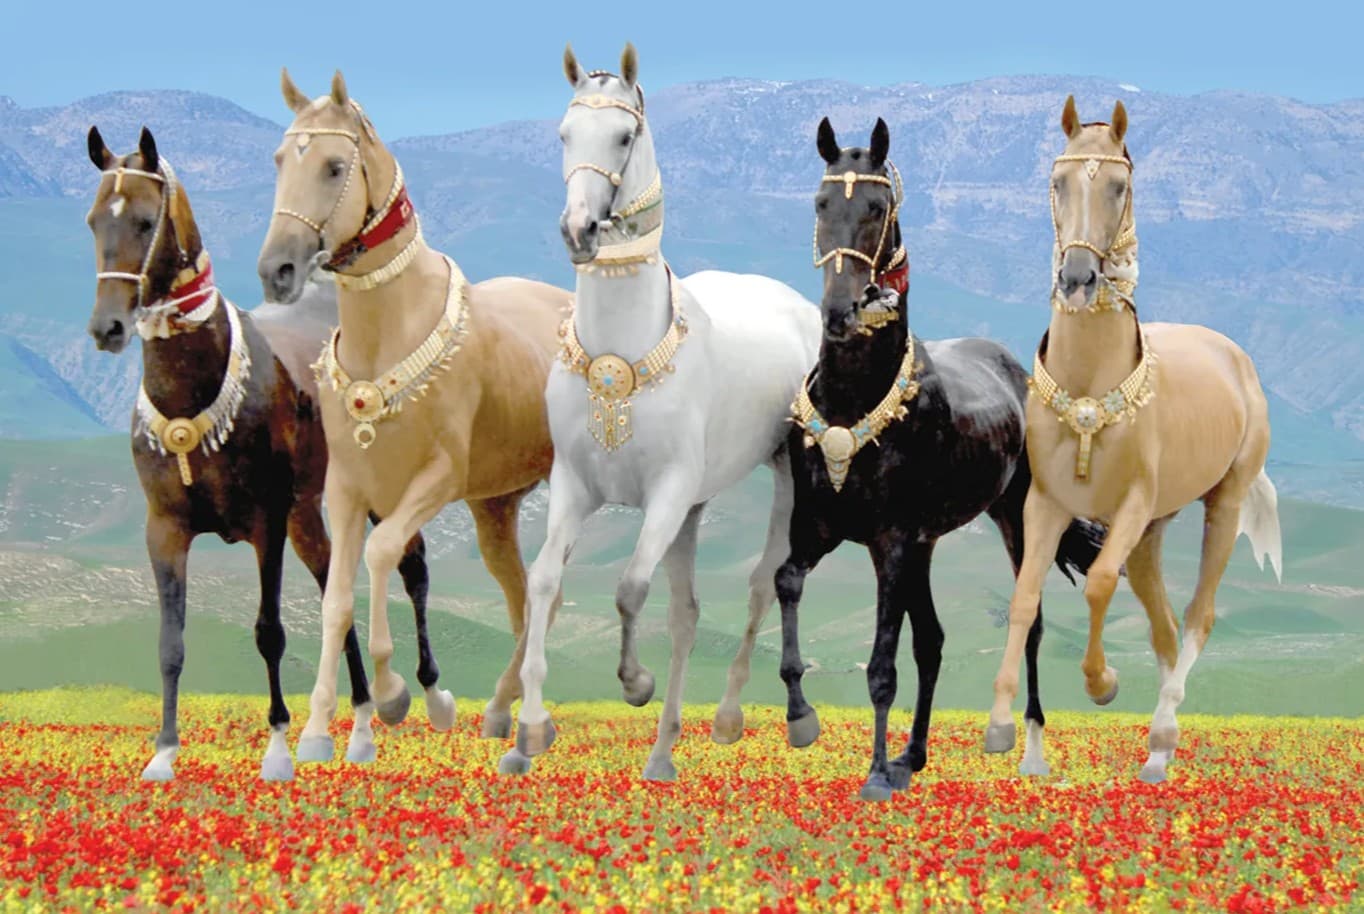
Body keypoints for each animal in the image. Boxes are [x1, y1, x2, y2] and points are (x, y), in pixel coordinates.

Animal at [83, 125, 435, 780]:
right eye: (94, 220)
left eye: (144, 221)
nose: (107, 328)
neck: (194, 394)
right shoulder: (165, 529)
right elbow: (170, 642)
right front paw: (164, 753)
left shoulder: (265, 524)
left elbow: (269, 631)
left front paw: (276, 750)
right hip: (308, 513)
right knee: (334, 590)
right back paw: (355, 730)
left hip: (368, 494)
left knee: (412, 566)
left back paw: (421, 693)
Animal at [256, 70, 571, 763]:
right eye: (279, 159)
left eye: (334, 165)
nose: (277, 271)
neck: (388, 334)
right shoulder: (347, 487)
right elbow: (336, 599)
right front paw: (318, 733)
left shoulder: (435, 479)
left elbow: (380, 556)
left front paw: (396, 695)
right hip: (495, 506)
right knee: (523, 597)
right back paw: (503, 709)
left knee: (548, 591)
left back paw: (528, 722)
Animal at [504, 43, 822, 781]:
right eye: (564, 135)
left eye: (624, 136)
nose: (578, 230)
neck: (619, 354)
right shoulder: (575, 486)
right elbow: (544, 584)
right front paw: (529, 729)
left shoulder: (668, 493)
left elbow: (627, 588)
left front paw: (635, 683)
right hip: (696, 509)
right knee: (686, 612)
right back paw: (663, 751)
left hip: (784, 476)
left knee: (765, 583)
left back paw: (740, 717)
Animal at [772, 117, 1107, 801]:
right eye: (820, 203)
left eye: (878, 209)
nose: (841, 311)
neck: (854, 398)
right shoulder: (819, 526)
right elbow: (785, 582)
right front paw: (802, 717)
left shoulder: (890, 541)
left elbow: (881, 663)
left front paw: (874, 775)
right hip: (926, 545)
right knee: (932, 641)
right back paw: (914, 756)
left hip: (1014, 519)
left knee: (1028, 621)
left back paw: (1023, 744)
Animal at [986, 97, 1282, 784]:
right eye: (1058, 180)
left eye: (1119, 186)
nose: (1077, 277)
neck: (1089, 387)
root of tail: (1234, 357)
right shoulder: (1045, 504)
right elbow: (1024, 600)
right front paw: (1001, 726)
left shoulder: (1129, 505)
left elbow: (1097, 584)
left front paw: (1102, 684)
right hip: (1151, 534)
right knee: (1165, 628)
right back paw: (1157, 746)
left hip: (1220, 504)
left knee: (1198, 616)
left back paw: (1163, 737)